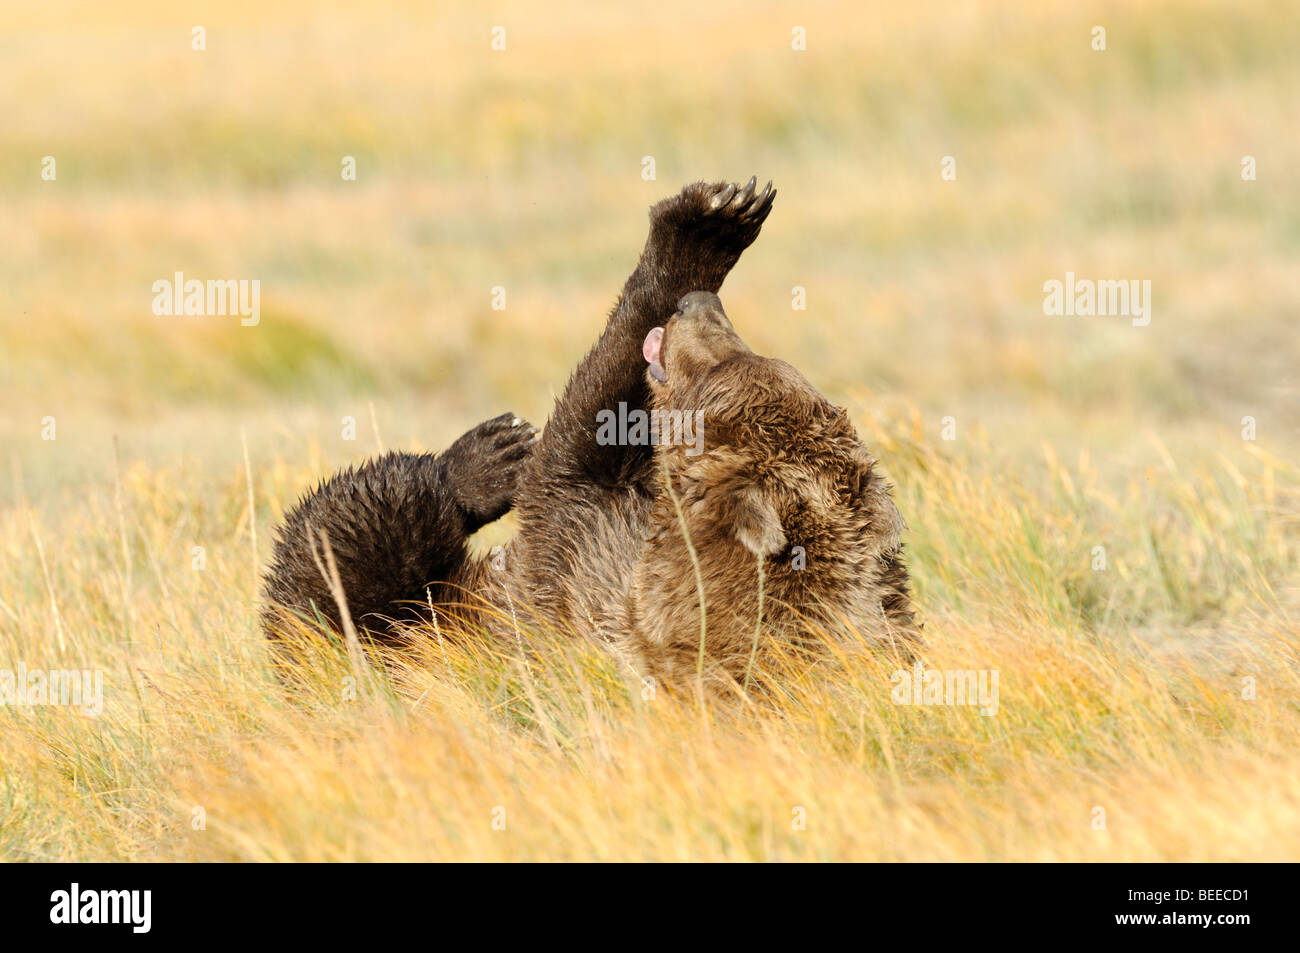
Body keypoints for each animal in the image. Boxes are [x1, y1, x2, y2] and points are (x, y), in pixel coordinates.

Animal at [261, 176, 915, 686]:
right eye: (769, 358)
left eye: (724, 366)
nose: (698, 304)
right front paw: (724, 213)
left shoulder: (582, 567)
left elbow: (572, 448)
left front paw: (692, 235)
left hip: (394, 635)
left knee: (339, 561)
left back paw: (483, 461)